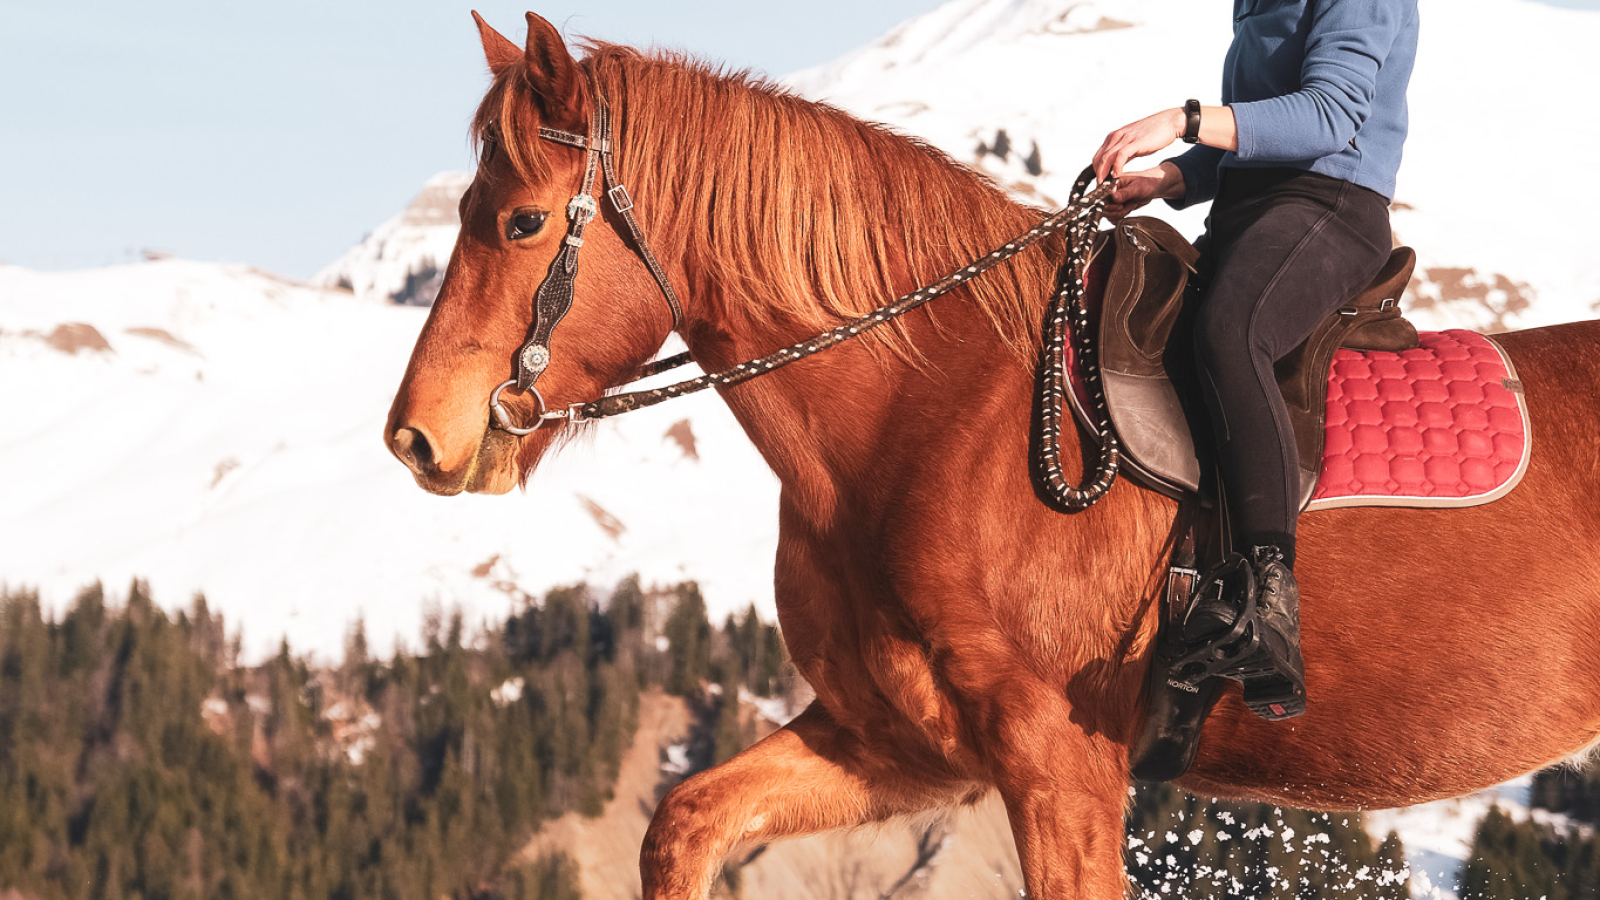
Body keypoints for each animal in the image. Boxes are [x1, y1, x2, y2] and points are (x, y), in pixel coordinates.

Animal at [384, 14, 1600, 896]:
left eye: (523, 222)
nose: (418, 437)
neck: (934, 414)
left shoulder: (1058, 763)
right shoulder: (898, 744)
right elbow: (682, 823)